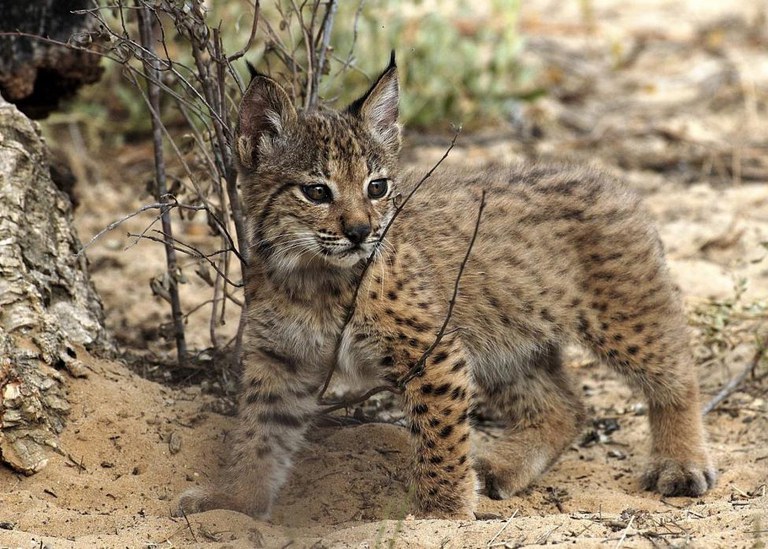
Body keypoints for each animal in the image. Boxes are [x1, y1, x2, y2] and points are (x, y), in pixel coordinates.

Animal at [178, 55, 712, 520]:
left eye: (377, 187)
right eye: (316, 192)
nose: (361, 232)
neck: (312, 272)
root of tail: (602, 175)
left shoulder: (431, 351)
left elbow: (440, 439)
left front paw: (443, 514)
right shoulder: (280, 357)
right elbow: (260, 433)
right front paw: (238, 500)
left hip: (624, 315)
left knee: (678, 375)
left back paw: (682, 463)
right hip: (503, 339)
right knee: (566, 408)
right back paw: (499, 466)